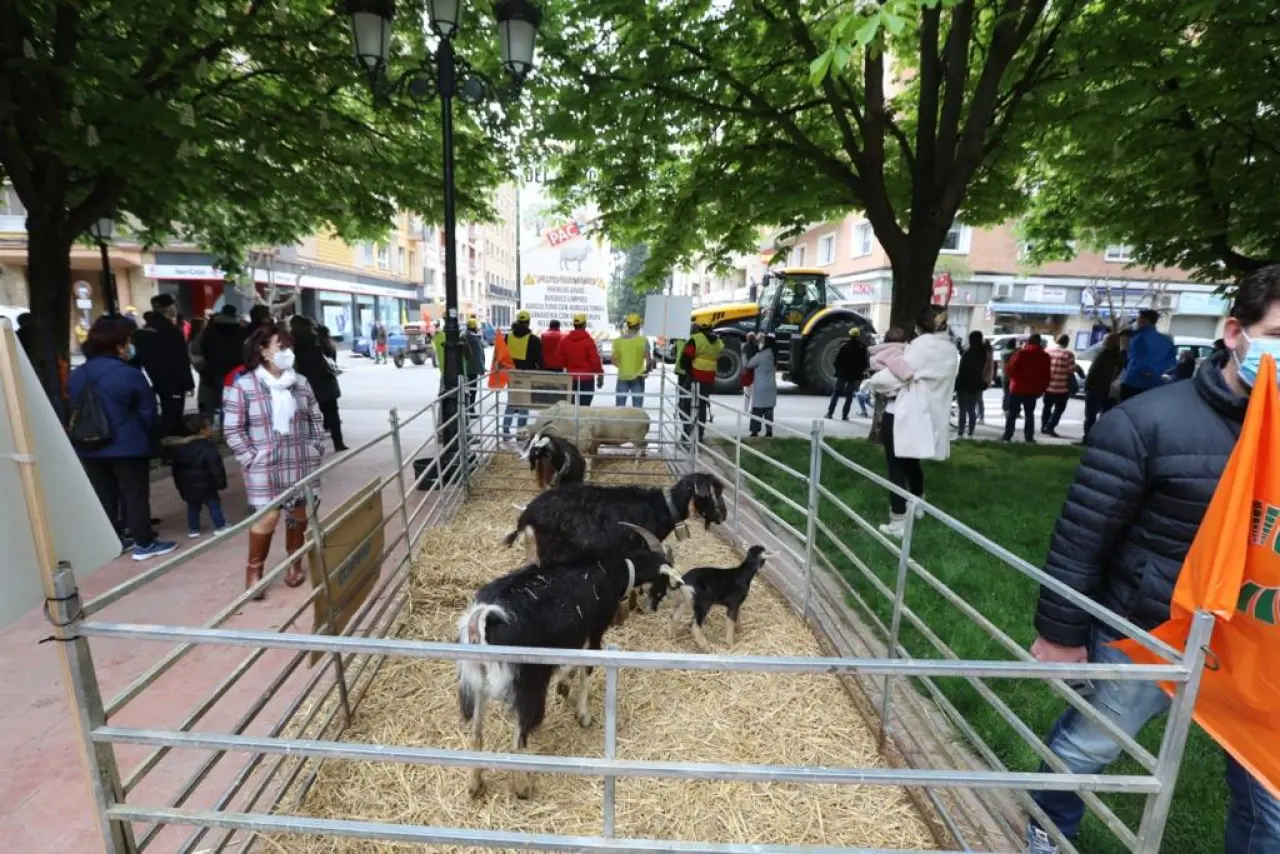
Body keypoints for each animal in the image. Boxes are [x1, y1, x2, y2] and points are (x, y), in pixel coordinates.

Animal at [456, 529, 682, 799]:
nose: (654, 606)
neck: (608, 570)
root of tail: (483, 619)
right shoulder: (594, 632)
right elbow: (587, 668)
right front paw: (583, 715)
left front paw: (563, 686)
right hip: (528, 682)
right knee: (518, 736)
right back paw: (523, 788)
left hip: (477, 682)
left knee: (475, 733)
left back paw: (475, 786)